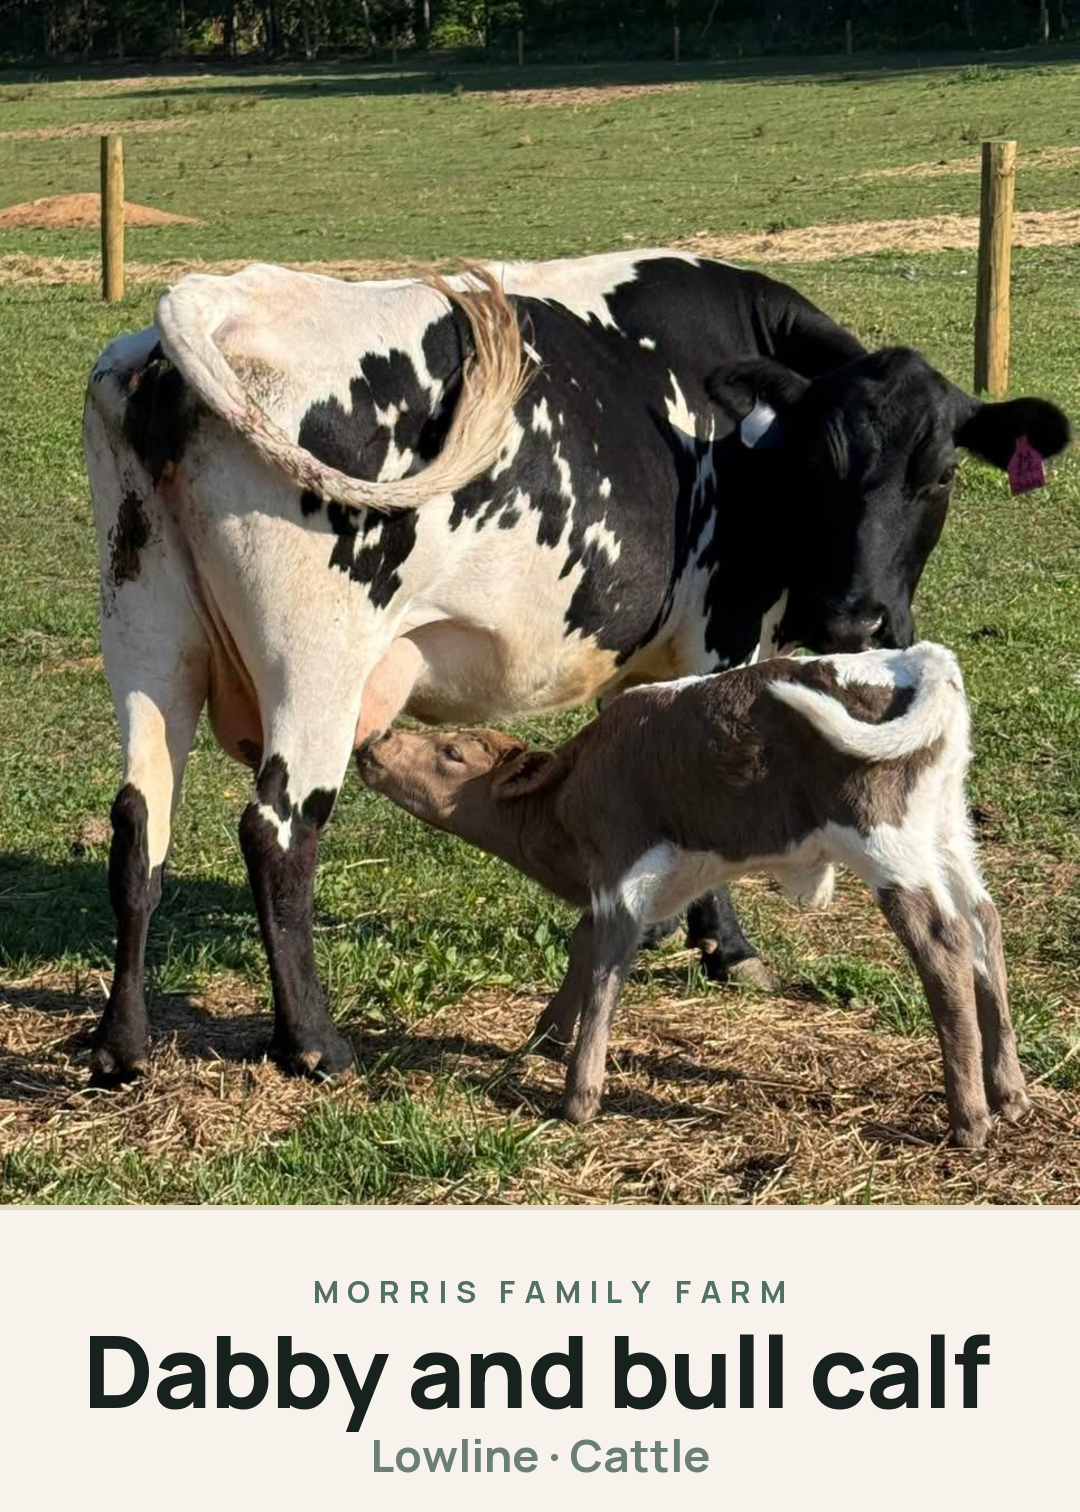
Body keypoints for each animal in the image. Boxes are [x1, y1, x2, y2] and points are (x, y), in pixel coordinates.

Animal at [82, 249, 1070, 1085]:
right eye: (820, 464)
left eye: (939, 474)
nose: (856, 620)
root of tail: (227, 298)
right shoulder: (723, 632)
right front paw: (728, 946)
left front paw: (669, 922)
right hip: (316, 664)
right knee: (278, 833)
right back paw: (316, 1045)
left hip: (146, 635)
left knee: (138, 826)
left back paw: (120, 1047)